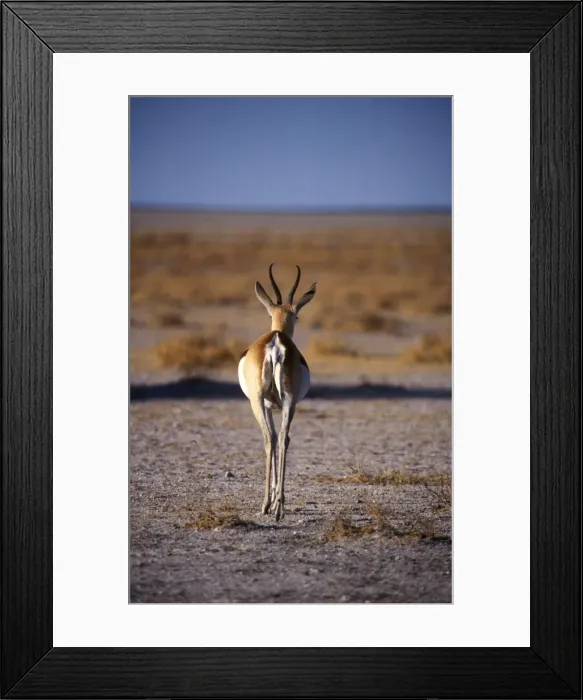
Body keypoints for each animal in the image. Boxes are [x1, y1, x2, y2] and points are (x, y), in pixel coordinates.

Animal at [238, 264, 316, 521]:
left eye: (297, 315)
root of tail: (276, 344)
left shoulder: (268, 405)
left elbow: (270, 437)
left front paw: (271, 501)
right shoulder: (277, 406)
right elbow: (279, 436)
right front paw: (276, 500)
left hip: (258, 402)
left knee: (270, 439)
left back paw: (267, 505)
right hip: (289, 403)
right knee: (282, 438)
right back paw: (278, 507)